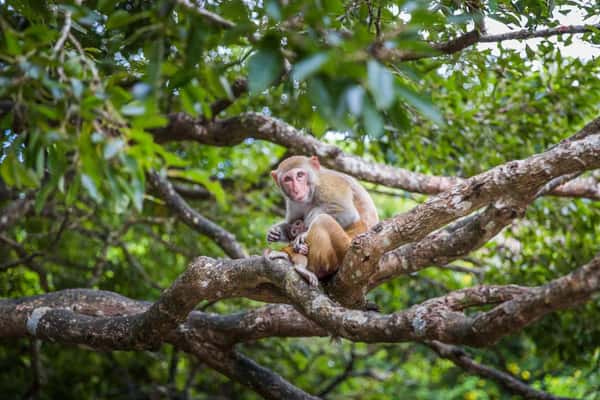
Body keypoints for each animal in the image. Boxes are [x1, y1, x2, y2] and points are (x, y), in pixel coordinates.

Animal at [264, 155, 378, 284]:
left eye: (300, 175)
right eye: (288, 179)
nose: (296, 189)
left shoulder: (328, 184)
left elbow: (348, 213)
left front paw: (303, 235)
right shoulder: (292, 201)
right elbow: (291, 222)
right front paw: (276, 232)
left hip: (341, 252)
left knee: (322, 219)